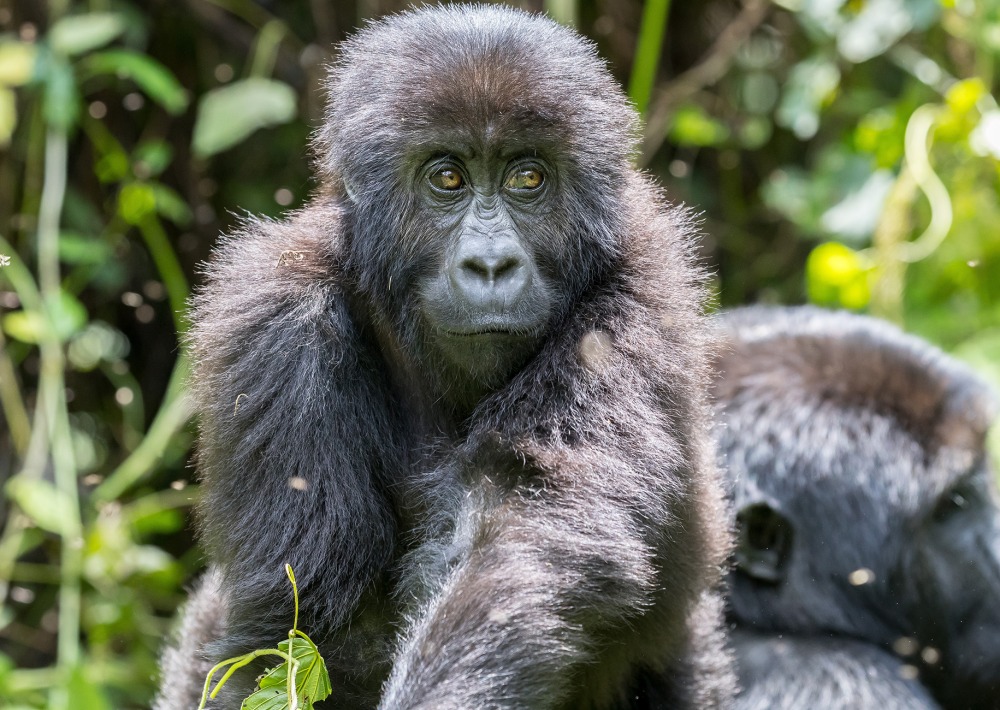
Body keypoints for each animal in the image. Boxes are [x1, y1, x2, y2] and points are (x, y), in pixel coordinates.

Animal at [158, 5, 736, 710]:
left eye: (527, 178)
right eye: (448, 178)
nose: (490, 264)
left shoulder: (638, 289)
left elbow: (520, 531)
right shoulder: (274, 317)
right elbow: (311, 627)